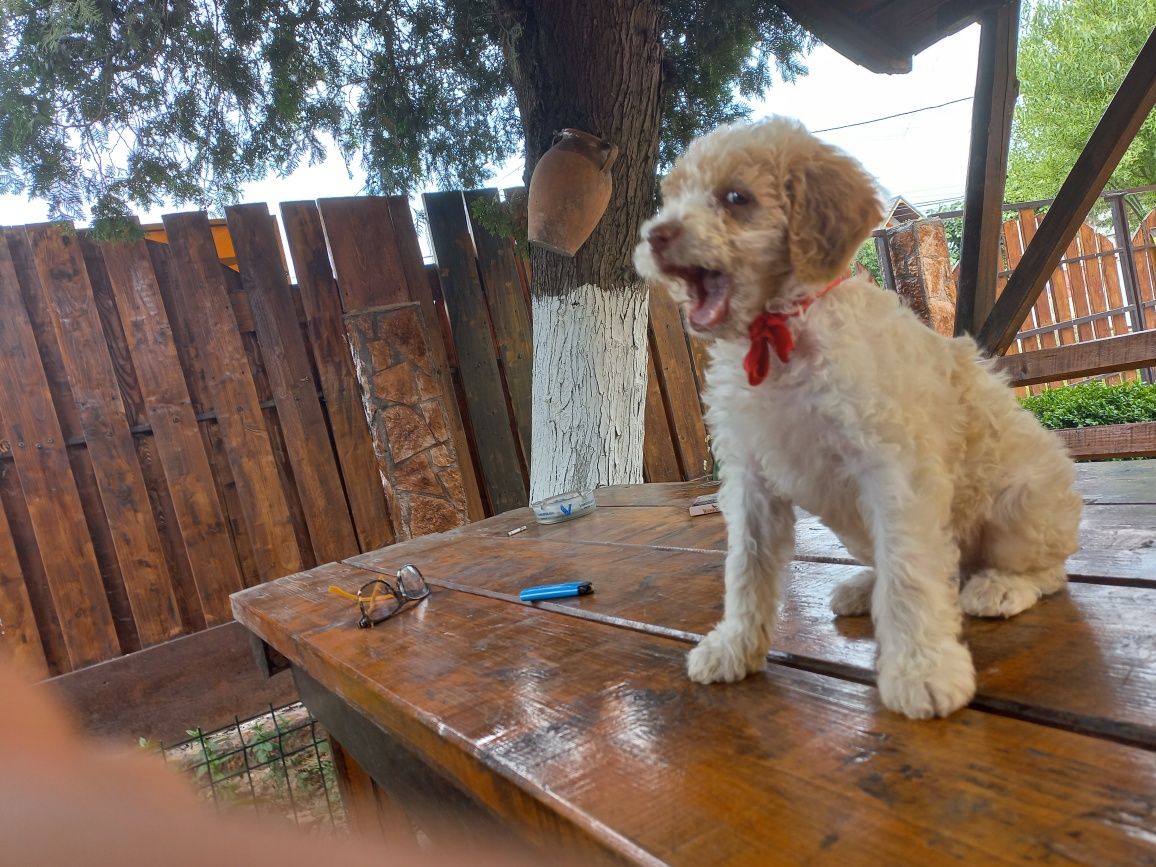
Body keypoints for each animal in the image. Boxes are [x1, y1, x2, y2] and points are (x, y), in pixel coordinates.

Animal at [633, 119, 1082, 721]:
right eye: (672, 197)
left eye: (736, 198)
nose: (656, 235)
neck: (779, 336)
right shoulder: (751, 479)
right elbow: (744, 568)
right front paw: (733, 647)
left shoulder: (893, 470)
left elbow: (910, 573)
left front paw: (922, 671)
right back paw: (863, 588)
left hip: (1024, 506)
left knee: (1047, 572)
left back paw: (1000, 587)